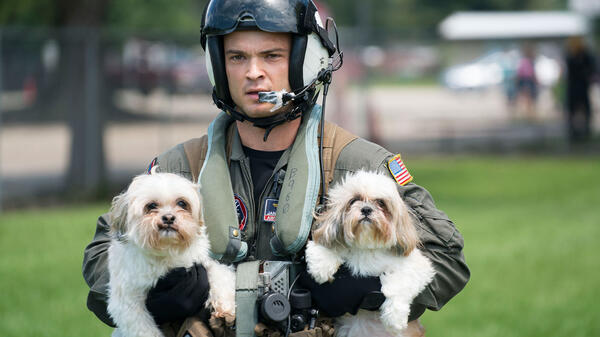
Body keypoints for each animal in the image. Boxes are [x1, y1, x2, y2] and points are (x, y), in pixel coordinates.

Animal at [108, 172, 234, 336]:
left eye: (182, 203)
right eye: (151, 206)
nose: (168, 217)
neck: (167, 249)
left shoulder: (201, 261)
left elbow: (220, 275)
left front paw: (226, 308)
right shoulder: (128, 300)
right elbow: (143, 328)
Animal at [308, 171, 434, 336]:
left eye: (381, 202)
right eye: (354, 200)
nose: (366, 209)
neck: (366, 246)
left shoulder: (417, 266)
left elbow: (400, 284)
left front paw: (394, 317)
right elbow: (325, 246)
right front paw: (321, 268)